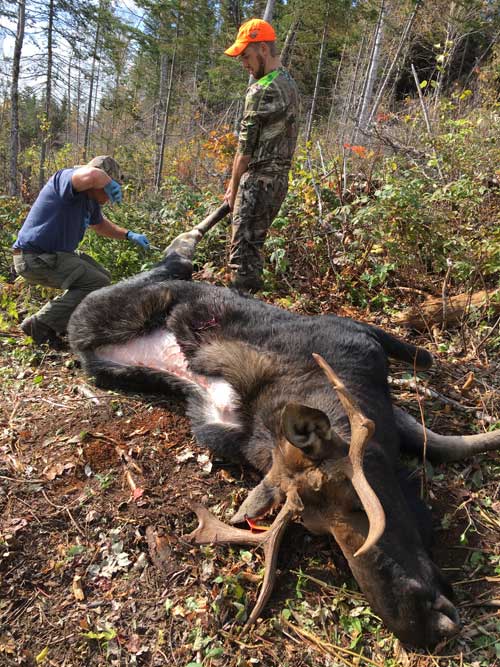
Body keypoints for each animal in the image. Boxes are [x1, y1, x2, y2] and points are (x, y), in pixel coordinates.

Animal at [67, 206, 500, 648]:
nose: (419, 625)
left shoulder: (357, 334)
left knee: (172, 259)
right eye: (319, 531)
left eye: (357, 501)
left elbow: (426, 372)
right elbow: (441, 438)